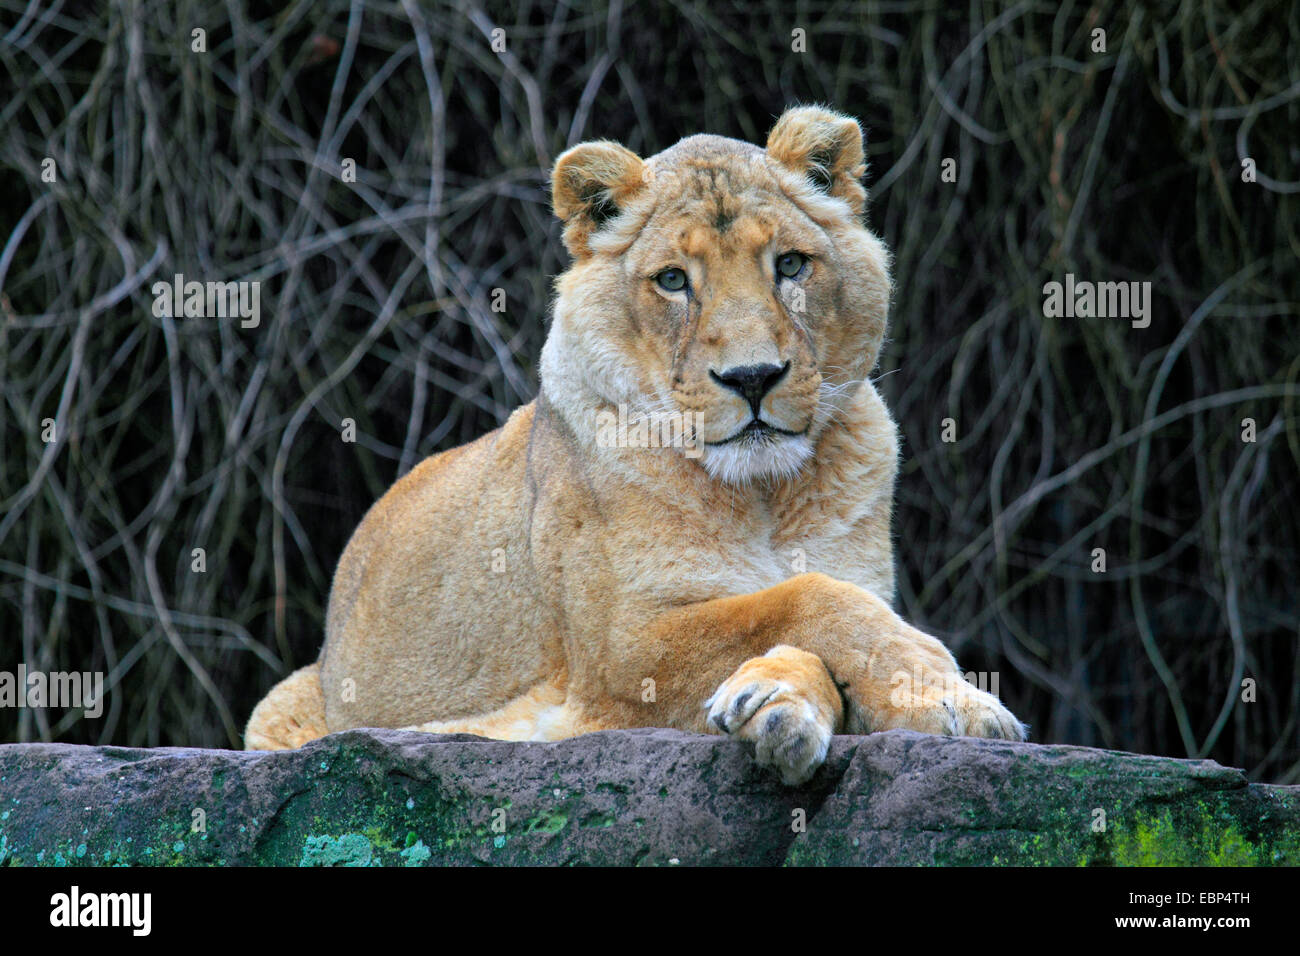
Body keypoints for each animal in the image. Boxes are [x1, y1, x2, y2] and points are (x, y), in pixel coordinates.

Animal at [244, 108, 1024, 790]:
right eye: (674, 280)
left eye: (791, 265)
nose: (752, 377)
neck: (764, 497)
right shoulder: (618, 655)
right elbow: (797, 600)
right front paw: (949, 695)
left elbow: (816, 612)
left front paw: (781, 705)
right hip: (279, 702)